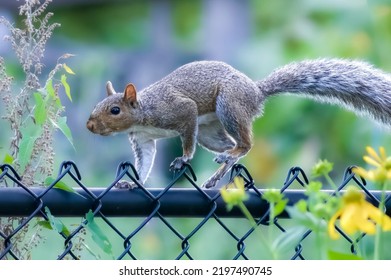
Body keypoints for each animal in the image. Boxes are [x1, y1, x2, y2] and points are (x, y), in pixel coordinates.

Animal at [87, 57, 391, 188]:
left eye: (115, 110)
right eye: (96, 106)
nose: (89, 126)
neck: (143, 112)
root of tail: (256, 91)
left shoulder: (180, 110)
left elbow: (186, 139)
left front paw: (183, 159)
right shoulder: (143, 141)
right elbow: (145, 163)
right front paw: (132, 183)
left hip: (229, 106)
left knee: (246, 144)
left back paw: (230, 157)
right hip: (210, 132)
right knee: (232, 147)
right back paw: (220, 171)